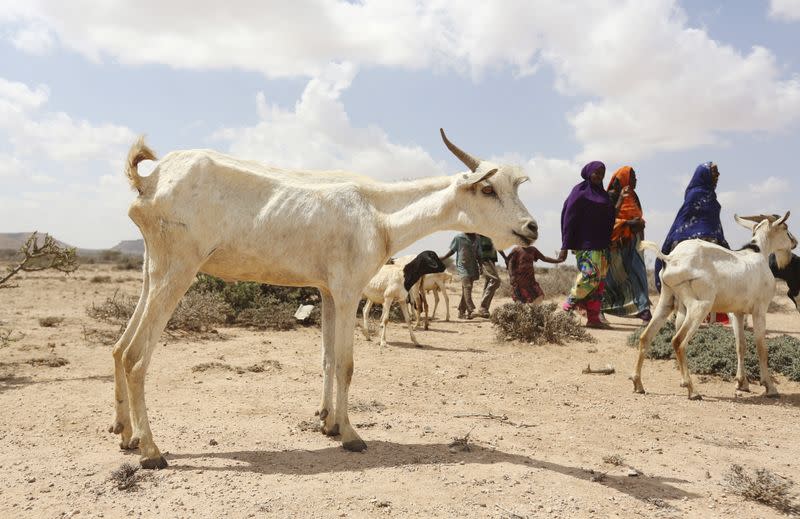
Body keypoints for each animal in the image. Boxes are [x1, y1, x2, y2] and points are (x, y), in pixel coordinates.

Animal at [109, 128, 540, 470]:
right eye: (488, 188)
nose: (532, 227)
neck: (376, 211)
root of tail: (150, 181)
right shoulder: (349, 291)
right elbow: (347, 365)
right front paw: (350, 434)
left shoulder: (328, 292)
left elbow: (328, 359)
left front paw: (327, 422)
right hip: (178, 271)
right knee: (135, 357)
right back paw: (151, 452)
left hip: (152, 271)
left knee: (118, 347)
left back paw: (126, 434)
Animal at [636, 213, 796, 400]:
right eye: (785, 228)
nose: (795, 242)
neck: (758, 252)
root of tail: (671, 259)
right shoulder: (760, 310)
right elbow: (761, 348)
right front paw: (770, 387)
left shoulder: (737, 313)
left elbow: (740, 345)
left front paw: (742, 383)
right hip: (700, 306)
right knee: (678, 341)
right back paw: (692, 390)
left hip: (667, 300)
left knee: (645, 337)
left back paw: (638, 384)